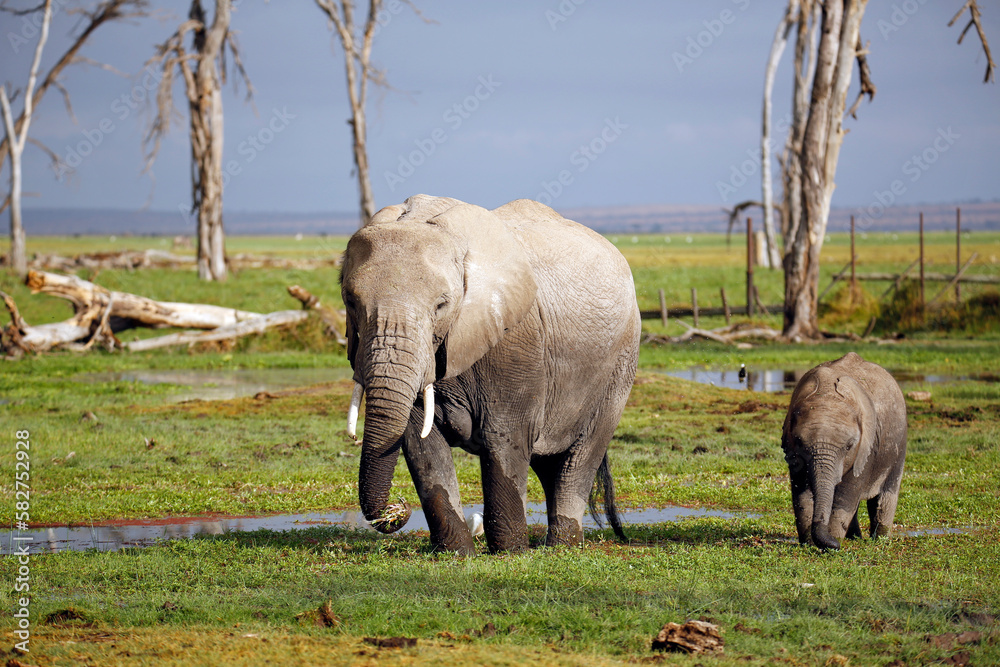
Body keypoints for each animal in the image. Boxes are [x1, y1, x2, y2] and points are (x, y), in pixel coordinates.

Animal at [340, 194, 641, 554]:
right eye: (350, 301)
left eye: (441, 305)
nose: (396, 510)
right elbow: (422, 445)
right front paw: (456, 554)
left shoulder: (517, 341)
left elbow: (504, 435)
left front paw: (511, 553)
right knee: (548, 463)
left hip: (620, 361)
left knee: (579, 459)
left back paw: (561, 548)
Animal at [781, 352, 908, 550]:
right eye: (799, 442)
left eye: (849, 446)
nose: (834, 545)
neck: (826, 392)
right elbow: (801, 493)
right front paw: (809, 543)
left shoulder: (867, 448)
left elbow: (846, 495)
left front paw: (833, 540)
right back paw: (855, 538)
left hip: (899, 444)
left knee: (885, 495)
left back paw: (879, 540)